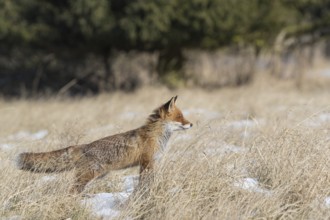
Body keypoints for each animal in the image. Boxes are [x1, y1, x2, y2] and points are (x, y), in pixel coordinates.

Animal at [16, 96, 193, 192]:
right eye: (180, 117)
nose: (191, 124)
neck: (155, 136)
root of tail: (83, 146)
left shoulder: (149, 163)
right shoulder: (147, 162)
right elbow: (145, 182)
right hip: (87, 177)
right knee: (71, 191)